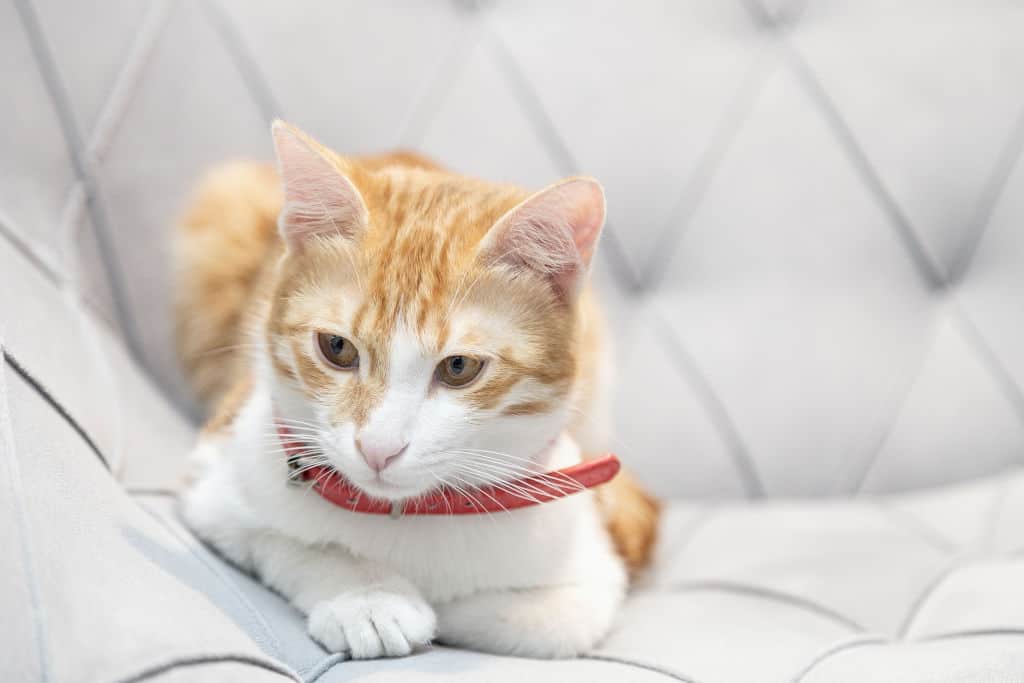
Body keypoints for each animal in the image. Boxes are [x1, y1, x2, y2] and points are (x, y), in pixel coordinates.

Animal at [174, 120, 655, 659]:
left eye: (460, 367)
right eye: (336, 347)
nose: (378, 449)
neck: (413, 513)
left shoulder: (589, 561)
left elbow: (549, 619)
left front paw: (444, 607)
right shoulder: (213, 480)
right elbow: (288, 540)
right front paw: (369, 597)